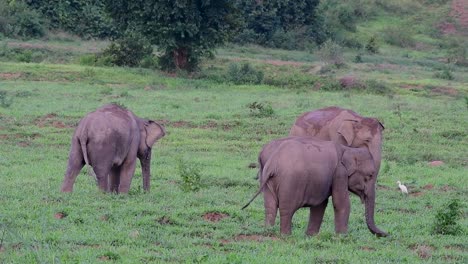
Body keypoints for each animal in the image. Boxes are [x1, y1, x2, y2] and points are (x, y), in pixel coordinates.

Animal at [243, 136, 390, 237]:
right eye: (370, 175)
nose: (387, 234)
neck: (348, 149)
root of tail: (274, 161)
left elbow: (320, 205)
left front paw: (311, 236)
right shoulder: (339, 173)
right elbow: (341, 203)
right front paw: (342, 237)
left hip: (266, 180)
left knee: (270, 207)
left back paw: (269, 231)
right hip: (290, 182)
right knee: (287, 210)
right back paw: (286, 236)